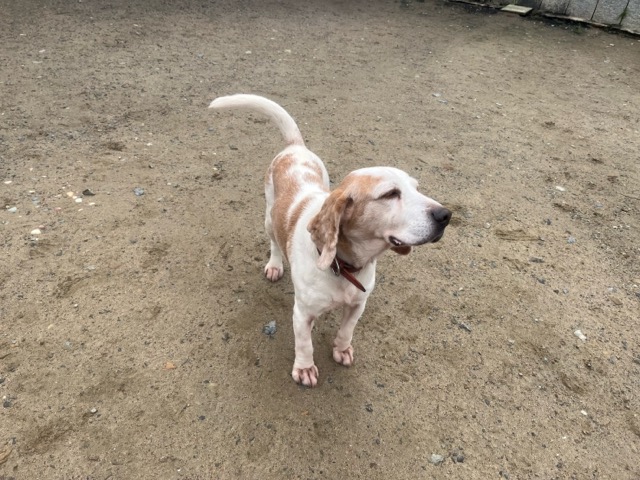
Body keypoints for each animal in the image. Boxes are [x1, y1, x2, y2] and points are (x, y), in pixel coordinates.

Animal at [209, 94, 450, 387]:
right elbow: (304, 344)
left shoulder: (358, 304)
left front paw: (342, 350)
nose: (446, 215)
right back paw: (275, 265)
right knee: (274, 243)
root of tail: (295, 148)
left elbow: (347, 330)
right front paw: (304, 369)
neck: (342, 266)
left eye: (416, 188)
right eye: (390, 194)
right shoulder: (302, 313)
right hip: (268, 217)